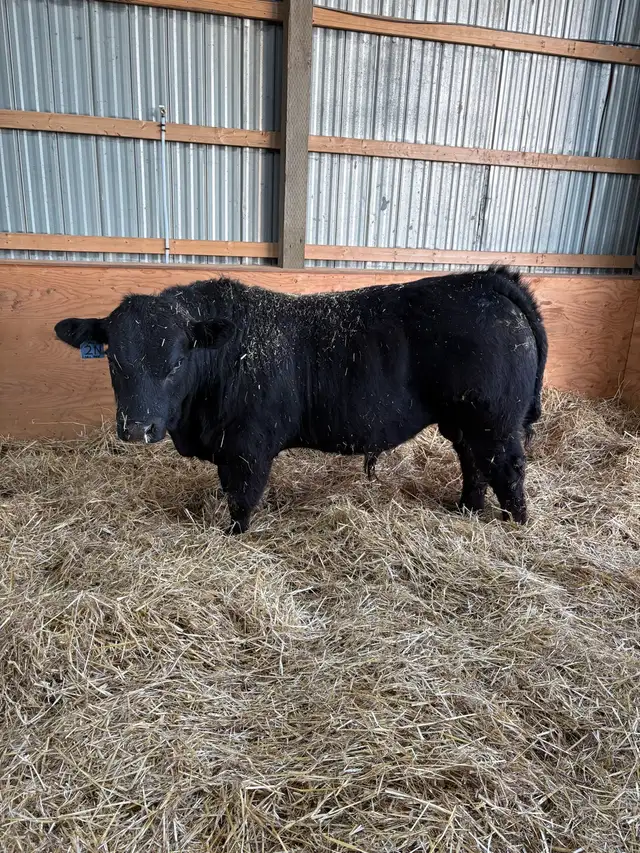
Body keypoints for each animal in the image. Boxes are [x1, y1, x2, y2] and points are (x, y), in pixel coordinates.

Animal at [54, 267, 547, 534]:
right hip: (464, 420)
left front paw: (233, 535)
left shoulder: (247, 447)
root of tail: (482, 280)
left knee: (506, 468)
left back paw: (516, 525)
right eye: (114, 360)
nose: (138, 428)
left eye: (176, 362)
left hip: (494, 420)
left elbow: (241, 497)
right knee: (473, 462)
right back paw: (466, 509)